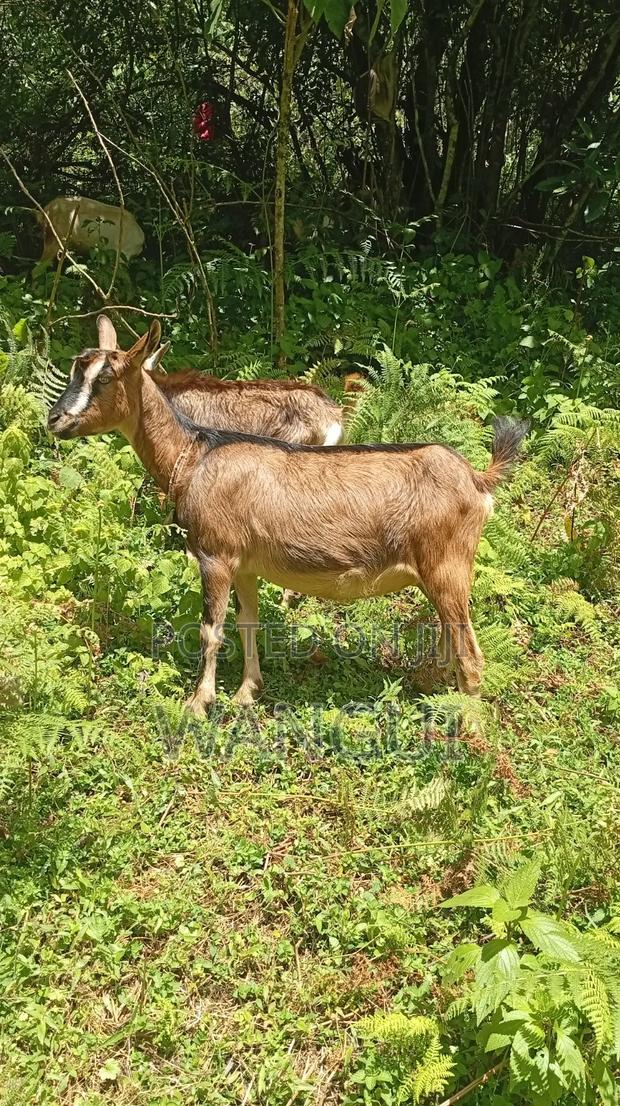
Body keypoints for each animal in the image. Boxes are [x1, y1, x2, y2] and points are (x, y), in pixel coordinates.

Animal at [48, 319, 527, 713]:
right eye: (75, 370)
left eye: (105, 376)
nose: (55, 419)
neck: (195, 456)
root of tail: (477, 479)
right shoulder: (244, 564)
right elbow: (247, 622)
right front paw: (247, 692)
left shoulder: (215, 555)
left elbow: (210, 629)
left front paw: (199, 703)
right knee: (450, 638)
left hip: (448, 565)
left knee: (471, 652)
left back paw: (468, 732)